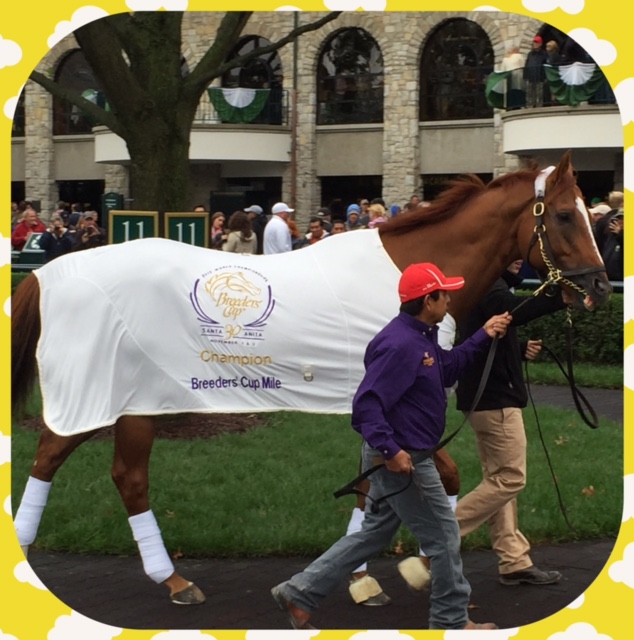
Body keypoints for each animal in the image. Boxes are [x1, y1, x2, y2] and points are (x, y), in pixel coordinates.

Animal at [12, 151, 608, 604]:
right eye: (563, 216)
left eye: (587, 211)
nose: (599, 287)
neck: (408, 284)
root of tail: (49, 273)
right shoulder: (387, 409)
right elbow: (423, 479)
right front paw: (400, 566)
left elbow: (385, 486)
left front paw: (375, 572)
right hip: (114, 398)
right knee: (85, 467)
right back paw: (164, 578)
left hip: (133, 403)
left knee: (101, 471)